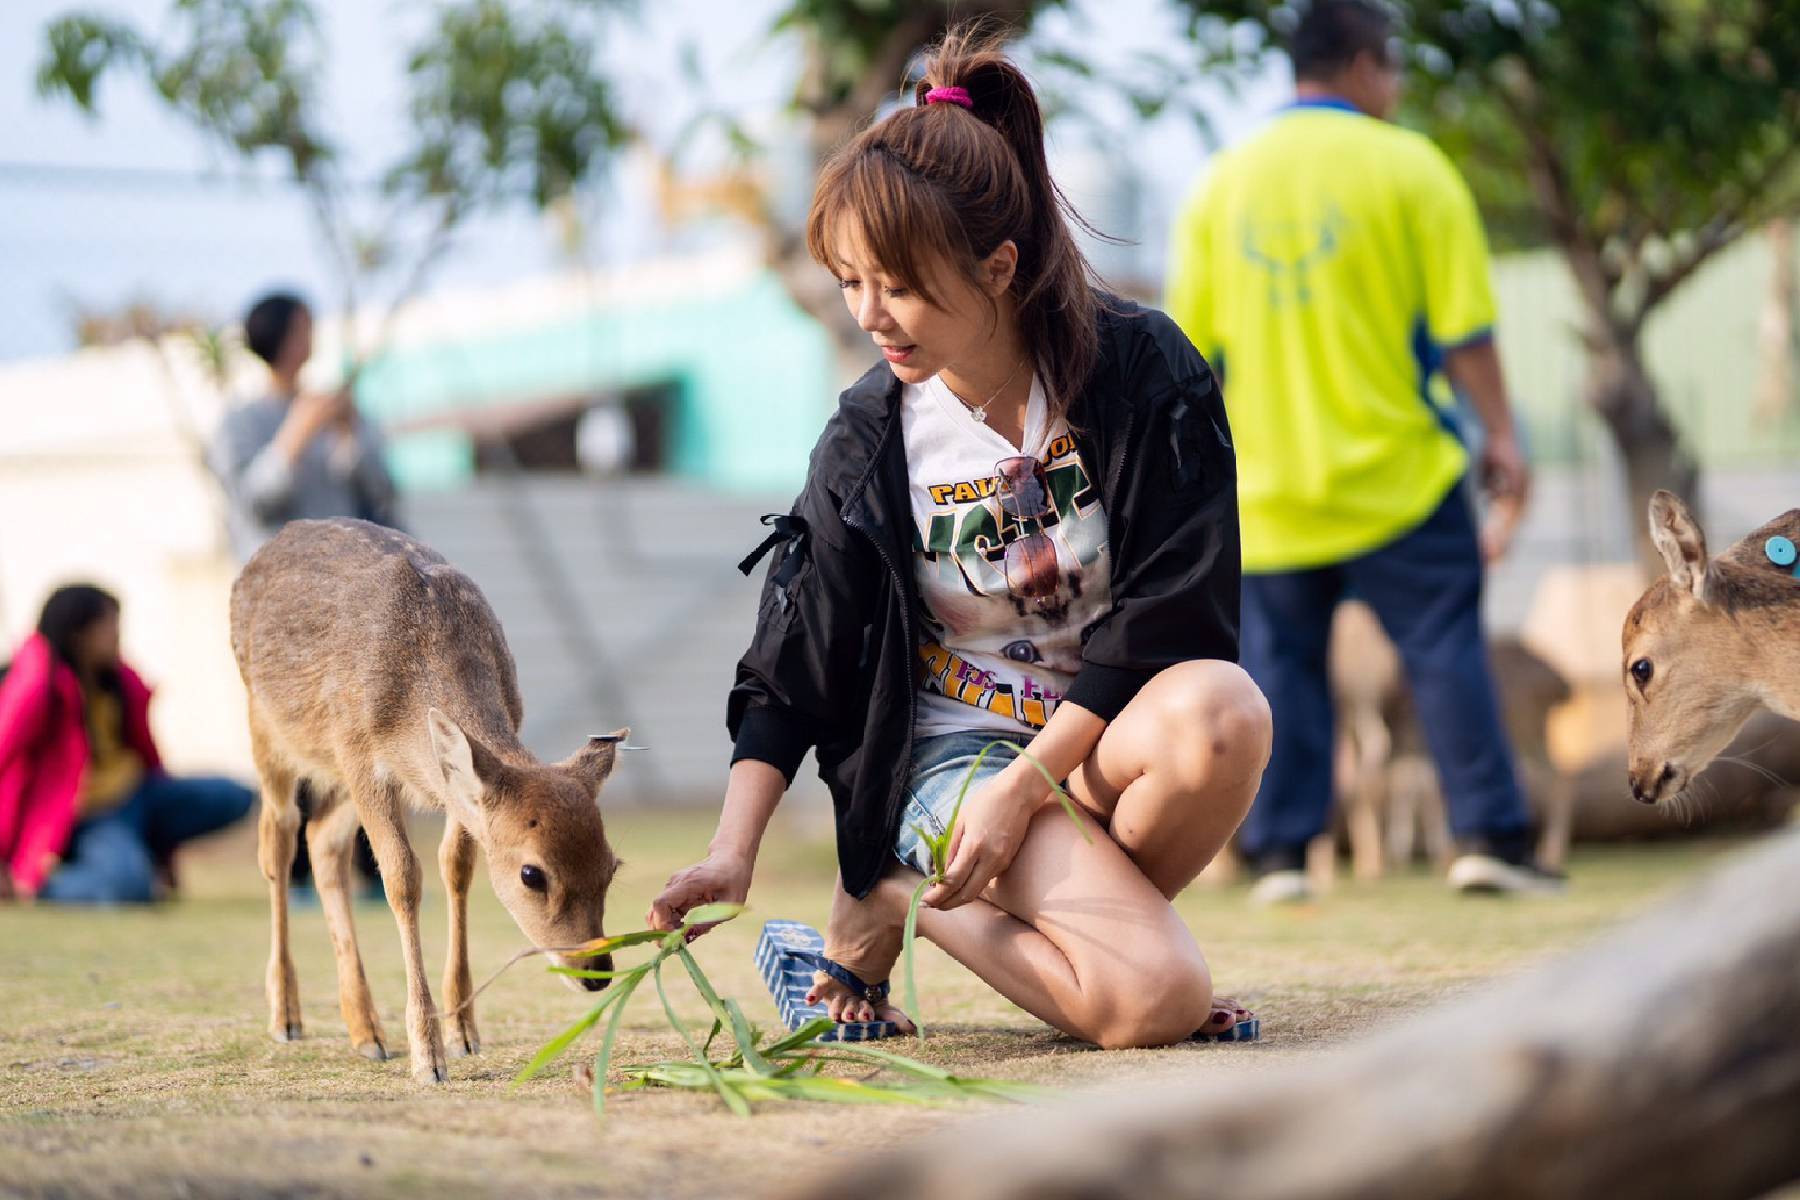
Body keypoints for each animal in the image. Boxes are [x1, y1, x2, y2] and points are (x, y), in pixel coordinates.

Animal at [228, 521, 630, 1086]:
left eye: (611, 867)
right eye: (532, 874)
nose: (596, 973)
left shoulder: (450, 786)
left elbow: (456, 867)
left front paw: (463, 1032)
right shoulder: (360, 757)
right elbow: (401, 876)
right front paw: (428, 1057)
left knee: (322, 841)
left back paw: (367, 1033)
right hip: (268, 729)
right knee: (279, 842)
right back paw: (287, 1016)